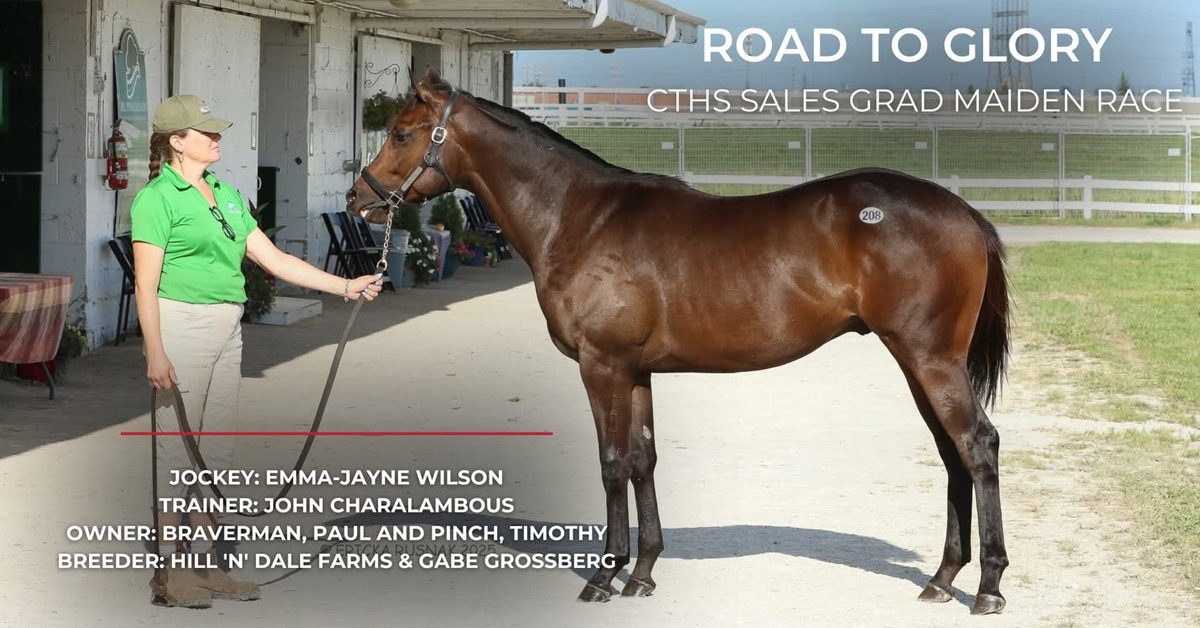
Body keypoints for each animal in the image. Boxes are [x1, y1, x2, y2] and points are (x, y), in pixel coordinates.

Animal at [346, 68, 1012, 616]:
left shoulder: (601, 366)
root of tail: (964, 212)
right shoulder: (636, 371)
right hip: (917, 362)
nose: (359, 200)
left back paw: (987, 587)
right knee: (951, 452)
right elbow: (643, 460)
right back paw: (941, 578)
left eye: (401, 133)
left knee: (978, 445)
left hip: (929, 359)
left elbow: (612, 463)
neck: (579, 217)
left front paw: (604, 575)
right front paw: (642, 573)